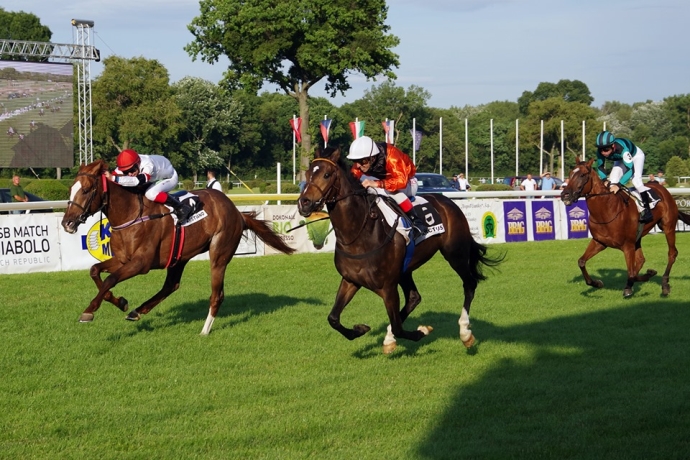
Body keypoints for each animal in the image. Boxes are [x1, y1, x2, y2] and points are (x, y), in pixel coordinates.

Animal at [61, 162, 292, 334]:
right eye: (71, 189)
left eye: (86, 190)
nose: (67, 223)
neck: (131, 214)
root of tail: (237, 212)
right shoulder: (123, 259)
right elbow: (95, 271)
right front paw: (120, 302)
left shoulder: (140, 264)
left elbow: (110, 279)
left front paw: (89, 310)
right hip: (179, 256)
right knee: (171, 285)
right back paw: (137, 311)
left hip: (219, 253)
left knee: (217, 294)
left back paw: (205, 330)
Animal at [296, 146, 500, 354]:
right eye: (307, 173)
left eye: (326, 174)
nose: (304, 203)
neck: (359, 233)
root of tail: (449, 202)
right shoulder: (351, 280)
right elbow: (333, 318)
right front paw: (360, 329)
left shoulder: (387, 287)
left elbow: (398, 327)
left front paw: (420, 332)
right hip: (405, 269)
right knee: (414, 298)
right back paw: (389, 339)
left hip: (455, 253)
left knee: (469, 284)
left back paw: (465, 332)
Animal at [560, 160, 688, 298]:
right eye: (570, 173)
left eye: (583, 175)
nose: (565, 195)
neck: (607, 209)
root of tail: (663, 189)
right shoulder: (600, 242)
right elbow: (581, 261)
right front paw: (597, 283)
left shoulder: (627, 245)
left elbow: (631, 274)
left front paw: (646, 276)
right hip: (637, 237)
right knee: (640, 260)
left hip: (668, 226)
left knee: (672, 253)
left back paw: (664, 285)